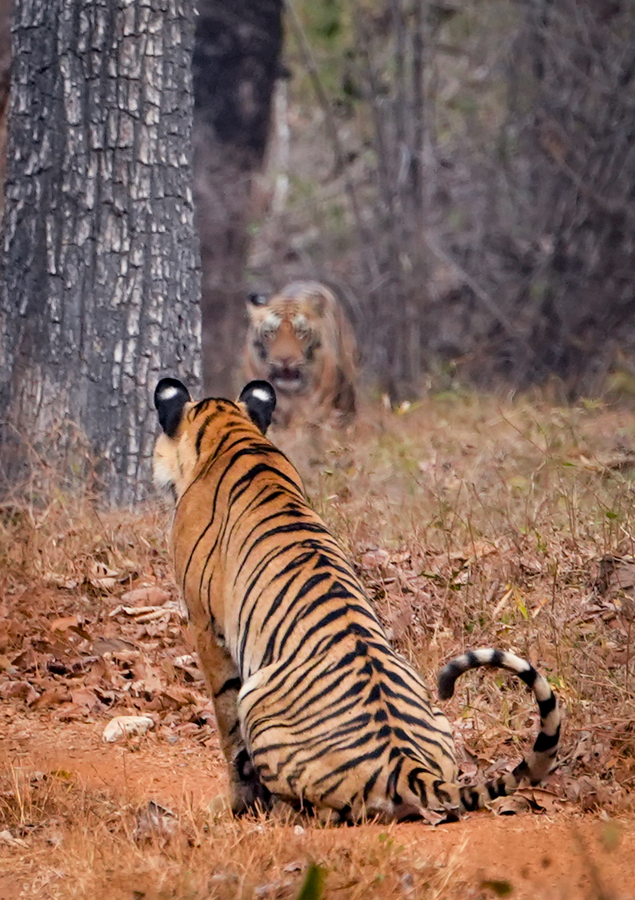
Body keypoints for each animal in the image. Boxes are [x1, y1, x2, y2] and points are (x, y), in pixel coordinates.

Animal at [153, 376, 561, 823]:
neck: (230, 432)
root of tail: (406, 764)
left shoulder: (206, 627)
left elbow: (228, 733)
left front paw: (233, 804)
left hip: (257, 702)